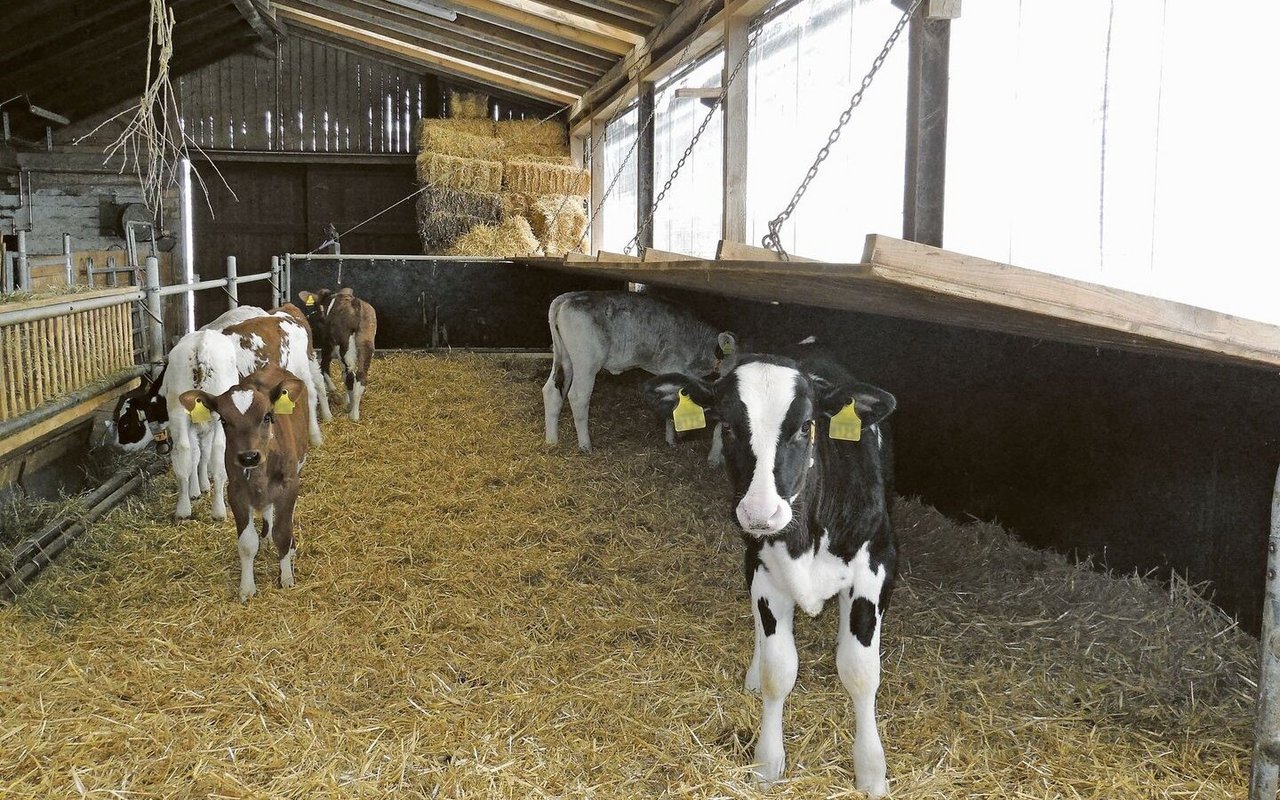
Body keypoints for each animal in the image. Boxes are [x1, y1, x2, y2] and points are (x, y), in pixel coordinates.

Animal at [181, 366, 311, 601]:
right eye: (223, 420)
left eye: (267, 416)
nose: (249, 456)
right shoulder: (236, 492)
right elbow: (247, 543)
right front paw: (247, 588)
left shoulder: (289, 485)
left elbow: (283, 532)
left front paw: (286, 577)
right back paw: (266, 536)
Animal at [296, 288, 376, 424]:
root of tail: (356, 305)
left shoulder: (326, 347)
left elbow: (324, 367)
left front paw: (335, 393)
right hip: (366, 343)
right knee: (360, 375)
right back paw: (354, 411)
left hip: (344, 348)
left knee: (349, 375)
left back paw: (352, 412)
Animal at [640, 358, 901, 798]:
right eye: (726, 426)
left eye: (805, 426)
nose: (761, 512)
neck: (806, 535)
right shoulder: (764, 576)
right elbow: (778, 671)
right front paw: (767, 762)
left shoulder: (876, 567)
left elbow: (861, 672)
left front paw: (871, 771)